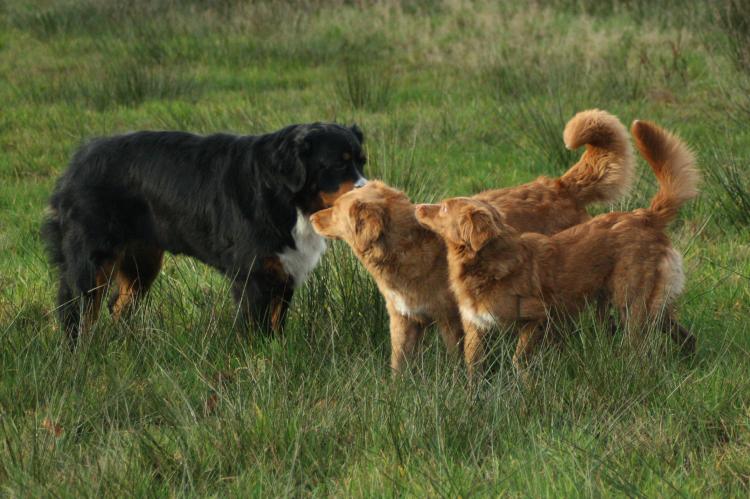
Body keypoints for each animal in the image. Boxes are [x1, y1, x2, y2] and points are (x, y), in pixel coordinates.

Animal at [42, 123, 368, 346]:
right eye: (338, 164)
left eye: (361, 161)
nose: (367, 190)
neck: (287, 198)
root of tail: (76, 162)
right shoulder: (254, 275)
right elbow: (258, 331)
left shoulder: (284, 270)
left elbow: (276, 325)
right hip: (91, 260)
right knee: (76, 311)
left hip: (142, 263)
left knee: (118, 305)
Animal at [312, 110, 636, 376]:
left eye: (336, 208)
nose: (312, 216)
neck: (408, 248)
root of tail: (560, 186)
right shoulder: (404, 320)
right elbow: (399, 366)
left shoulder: (452, 320)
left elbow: (458, 361)